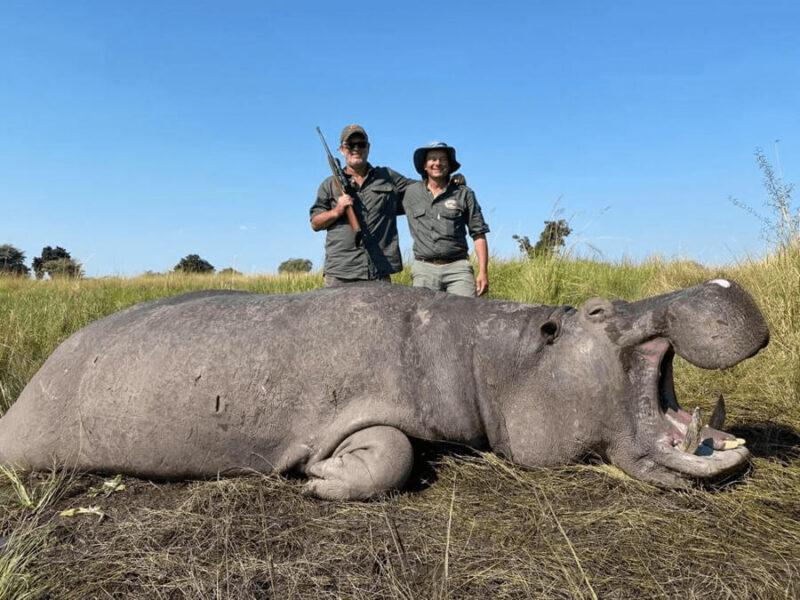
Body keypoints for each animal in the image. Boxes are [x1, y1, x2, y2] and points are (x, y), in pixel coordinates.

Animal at [0, 280, 768, 499]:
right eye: (601, 310)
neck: (493, 354)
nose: (720, 283)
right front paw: (317, 480)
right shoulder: (350, 414)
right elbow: (393, 454)